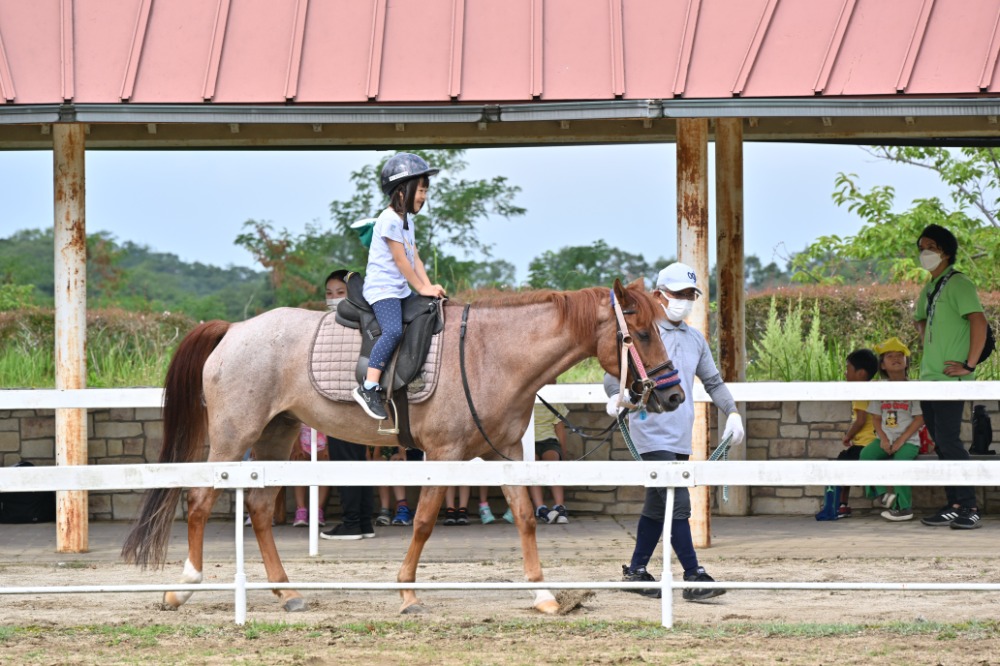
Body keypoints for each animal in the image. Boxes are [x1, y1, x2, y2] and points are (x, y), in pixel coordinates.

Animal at [121, 274, 684, 612]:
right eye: (644, 334)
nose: (673, 394)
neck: (491, 354)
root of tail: (233, 330)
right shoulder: (444, 455)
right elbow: (426, 520)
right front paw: (408, 592)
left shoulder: (501, 454)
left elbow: (525, 517)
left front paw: (544, 594)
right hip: (233, 434)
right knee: (199, 499)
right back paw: (183, 587)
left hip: (276, 434)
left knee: (259, 509)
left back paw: (288, 592)